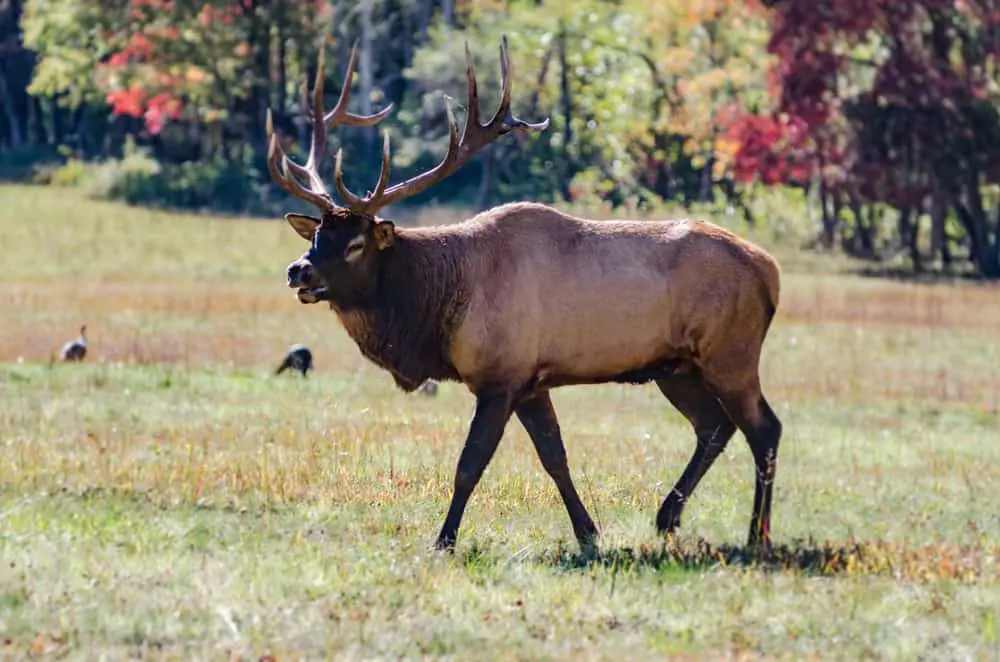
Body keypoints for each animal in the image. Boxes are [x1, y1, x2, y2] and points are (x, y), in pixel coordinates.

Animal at [264, 36, 783, 554]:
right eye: (316, 237)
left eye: (355, 245)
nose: (298, 271)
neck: (438, 314)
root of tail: (769, 270)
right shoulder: (533, 382)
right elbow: (555, 457)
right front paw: (588, 533)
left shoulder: (502, 376)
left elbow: (469, 464)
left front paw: (444, 540)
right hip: (675, 367)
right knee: (714, 425)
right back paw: (668, 516)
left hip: (730, 353)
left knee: (764, 428)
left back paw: (756, 535)